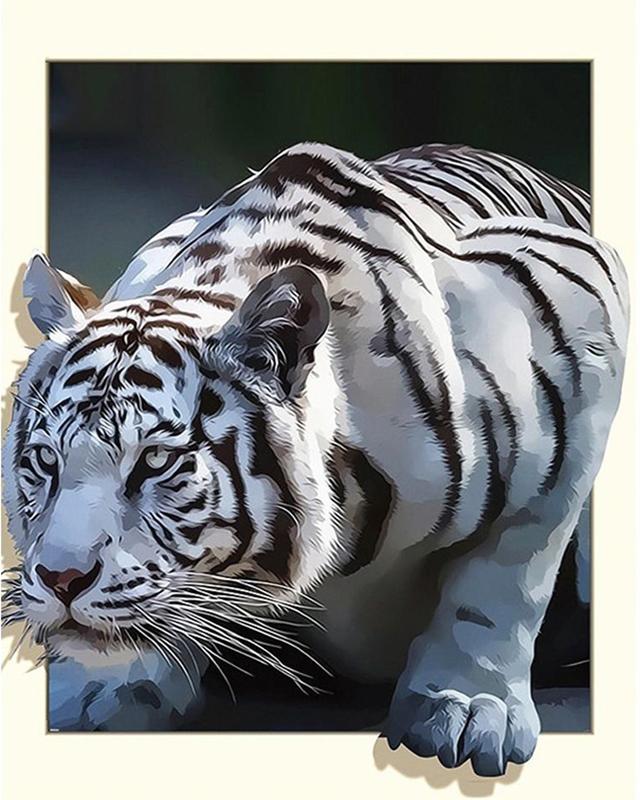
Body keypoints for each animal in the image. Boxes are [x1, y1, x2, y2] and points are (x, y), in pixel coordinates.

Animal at [2, 142, 628, 776]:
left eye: (154, 461)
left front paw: (468, 706)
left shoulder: (582, 317)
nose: (61, 580)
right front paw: (103, 685)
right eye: (45, 460)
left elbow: (506, 575)